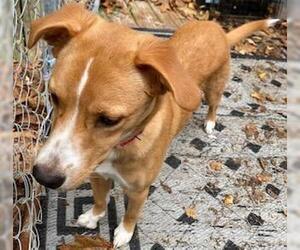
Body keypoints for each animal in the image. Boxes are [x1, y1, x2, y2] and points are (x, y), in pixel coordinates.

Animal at [29, 3, 278, 248]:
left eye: (110, 120)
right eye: (54, 96)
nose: (43, 177)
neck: (120, 147)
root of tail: (218, 30)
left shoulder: (139, 190)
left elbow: (130, 215)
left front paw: (124, 233)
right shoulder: (97, 174)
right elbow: (100, 200)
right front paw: (93, 216)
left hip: (215, 87)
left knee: (214, 104)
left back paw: (209, 123)